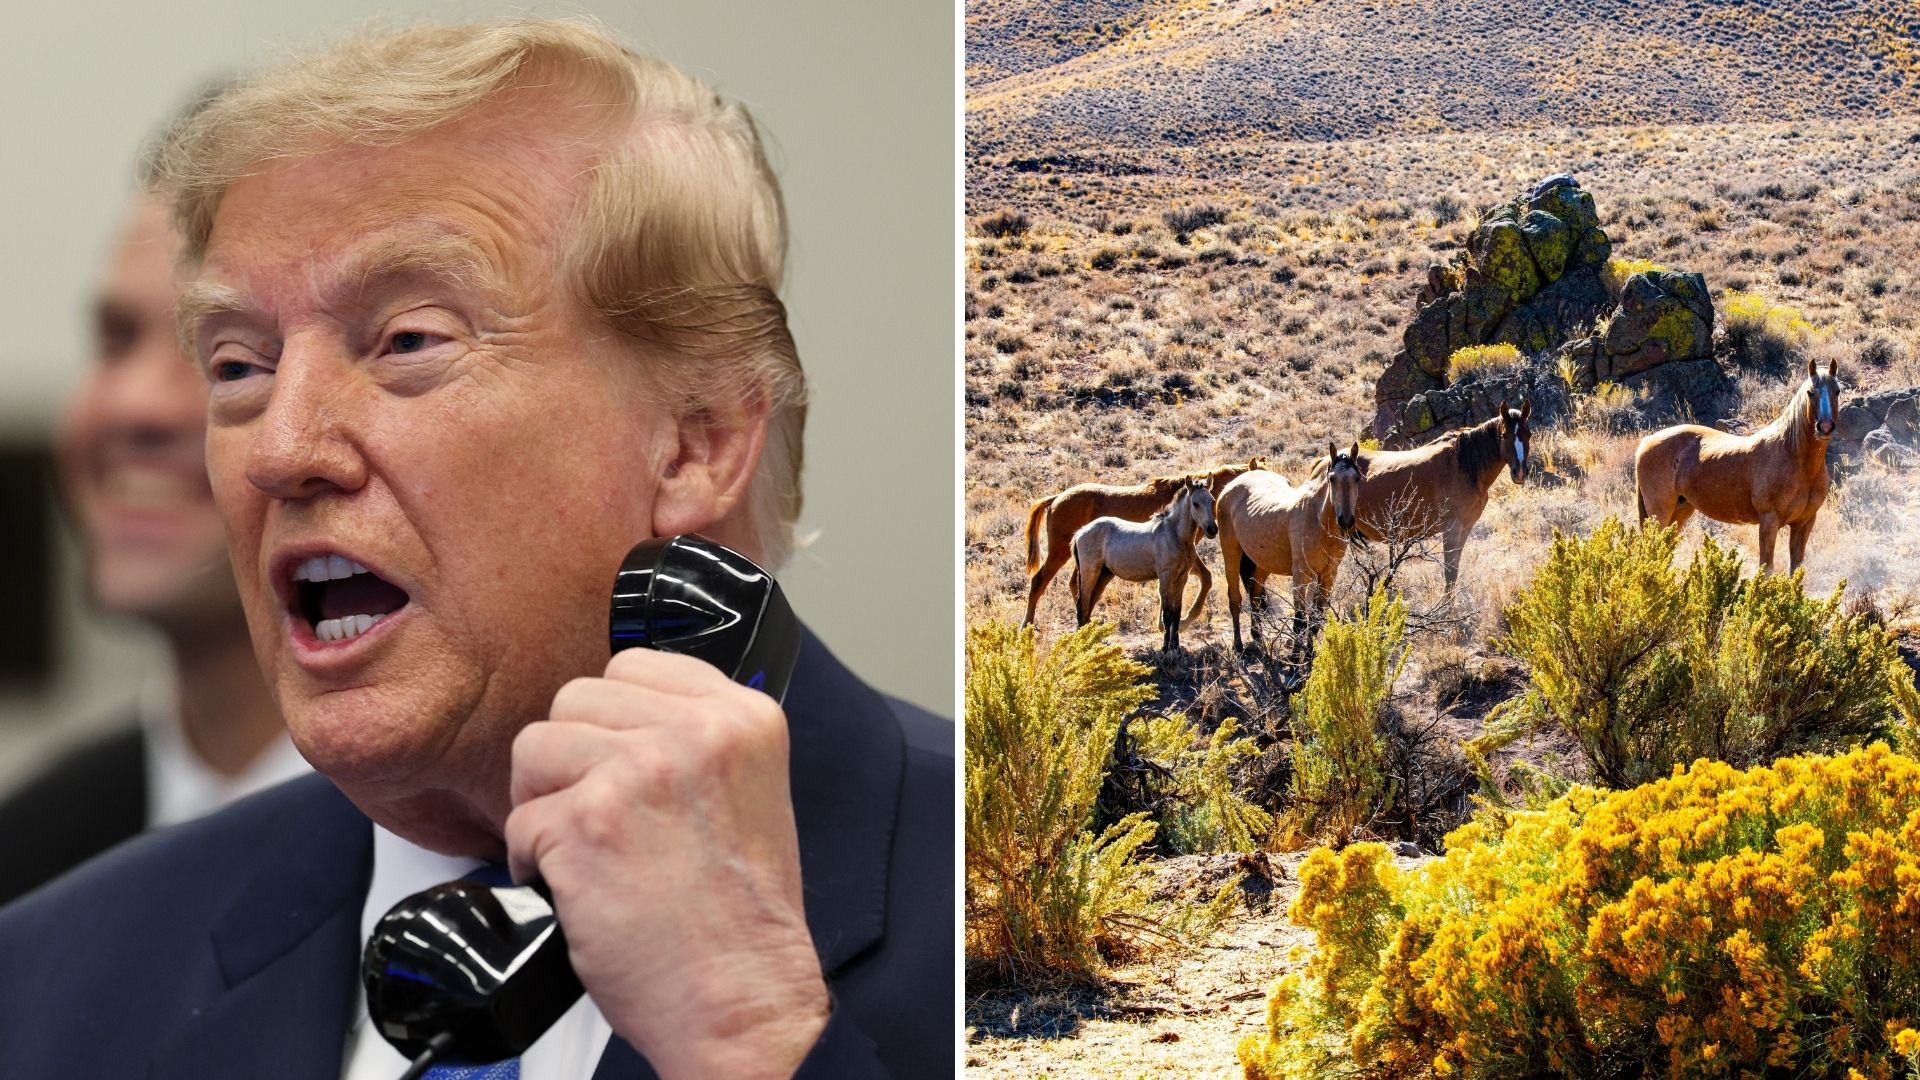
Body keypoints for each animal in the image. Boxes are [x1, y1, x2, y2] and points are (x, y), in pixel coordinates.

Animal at [1021, 456, 1262, 625]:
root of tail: (1056, 498)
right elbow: (1205, 579)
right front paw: (1180, 622)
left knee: (1076, 585)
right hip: (1059, 552)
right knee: (1039, 582)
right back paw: (1028, 625)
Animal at [1069, 477, 1219, 653]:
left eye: (1212, 501)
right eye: (1195, 503)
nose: (1212, 530)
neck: (1174, 535)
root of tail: (1080, 532)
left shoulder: (1182, 578)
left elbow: (1176, 613)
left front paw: (1176, 647)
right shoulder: (1166, 578)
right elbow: (1167, 614)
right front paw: (1165, 648)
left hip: (1104, 575)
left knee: (1088, 606)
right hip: (1089, 573)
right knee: (1082, 606)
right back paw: (1083, 646)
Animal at [1217, 442, 1365, 662]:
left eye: (1357, 478)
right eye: (1332, 479)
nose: (1346, 521)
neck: (1319, 521)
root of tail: (1231, 486)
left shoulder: (1328, 576)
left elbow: (1315, 618)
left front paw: (1311, 656)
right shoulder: (1301, 576)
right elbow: (1300, 620)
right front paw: (1295, 658)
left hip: (1263, 562)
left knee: (1255, 593)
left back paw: (1258, 637)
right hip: (1231, 554)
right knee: (1235, 598)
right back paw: (1238, 645)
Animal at [1317, 400, 1532, 588]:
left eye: (1528, 434)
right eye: (1504, 435)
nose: (1520, 472)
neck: (1464, 464)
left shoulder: (1465, 528)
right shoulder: (1451, 530)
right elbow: (1450, 574)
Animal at [1634, 357, 1841, 572]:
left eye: (1837, 391)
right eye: (1810, 392)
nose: (1825, 427)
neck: (1794, 458)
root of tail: (1647, 441)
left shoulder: (1804, 523)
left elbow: (1796, 569)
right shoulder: (1769, 522)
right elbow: (1766, 569)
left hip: (1680, 510)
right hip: (1659, 513)